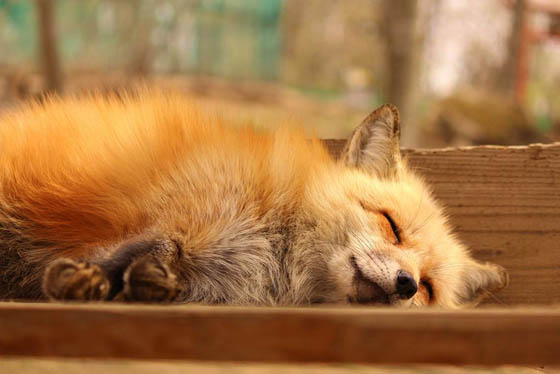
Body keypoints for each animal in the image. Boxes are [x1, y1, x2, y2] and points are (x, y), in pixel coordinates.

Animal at [0, 90, 508, 306]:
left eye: (427, 289)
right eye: (391, 225)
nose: (404, 283)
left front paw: (145, 285)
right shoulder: (191, 205)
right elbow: (148, 245)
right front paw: (80, 280)